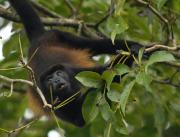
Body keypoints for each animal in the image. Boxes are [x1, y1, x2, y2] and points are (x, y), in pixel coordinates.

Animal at [8, 0, 145, 127]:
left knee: (95, 44)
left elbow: (105, 74)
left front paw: (130, 54)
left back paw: (138, 47)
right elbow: (79, 118)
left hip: (59, 35)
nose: (56, 80)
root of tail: (36, 39)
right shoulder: (49, 100)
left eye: (59, 73)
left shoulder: (75, 71)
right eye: (49, 79)